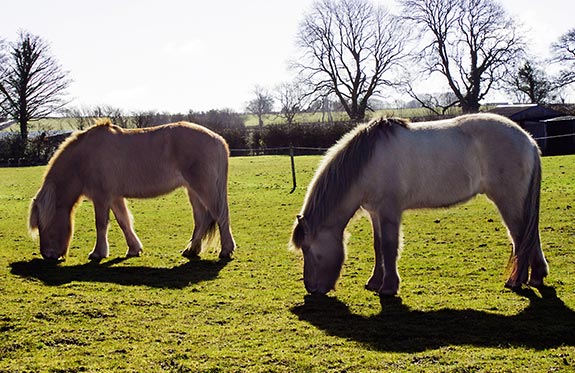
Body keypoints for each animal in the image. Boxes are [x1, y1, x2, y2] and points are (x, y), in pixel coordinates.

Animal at [28, 120, 236, 260]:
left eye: (44, 225)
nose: (48, 255)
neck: (84, 157)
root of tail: (219, 140)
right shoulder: (114, 197)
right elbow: (124, 221)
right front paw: (134, 248)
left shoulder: (101, 197)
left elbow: (101, 224)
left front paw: (98, 253)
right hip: (193, 191)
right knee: (202, 219)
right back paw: (191, 250)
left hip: (204, 189)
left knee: (220, 215)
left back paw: (226, 250)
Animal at [292, 113, 548, 296]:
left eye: (309, 250)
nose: (311, 289)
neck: (368, 162)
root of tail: (528, 141)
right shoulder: (375, 213)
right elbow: (378, 246)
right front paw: (374, 282)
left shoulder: (389, 212)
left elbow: (389, 247)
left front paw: (388, 288)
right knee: (530, 237)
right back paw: (536, 277)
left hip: (510, 202)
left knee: (519, 237)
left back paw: (516, 281)